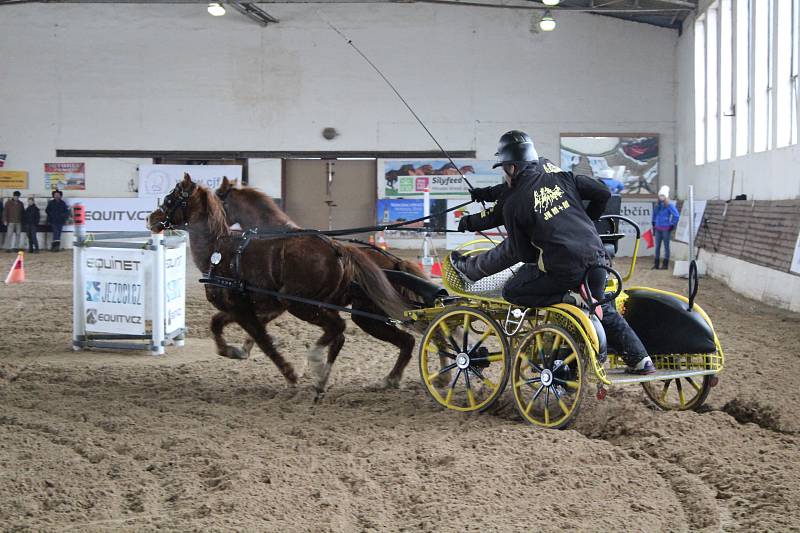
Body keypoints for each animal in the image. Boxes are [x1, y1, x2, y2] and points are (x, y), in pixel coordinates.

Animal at [149, 175, 410, 394]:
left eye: (170, 198)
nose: (151, 218)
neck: (219, 251)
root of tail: (338, 249)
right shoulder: (245, 307)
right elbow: (217, 324)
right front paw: (233, 350)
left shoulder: (251, 308)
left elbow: (263, 339)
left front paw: (290, 374)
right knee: (358, 336)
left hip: (312, 306)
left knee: (342, 329)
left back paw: (319, 361)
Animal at [214, 177, 450, 384]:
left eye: (217, 198)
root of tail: (394, 262)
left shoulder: (283, 301)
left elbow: (258, 322)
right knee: (429, 331)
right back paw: (438, 376)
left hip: (368, 316)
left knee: (413, 338)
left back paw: (401, 378)